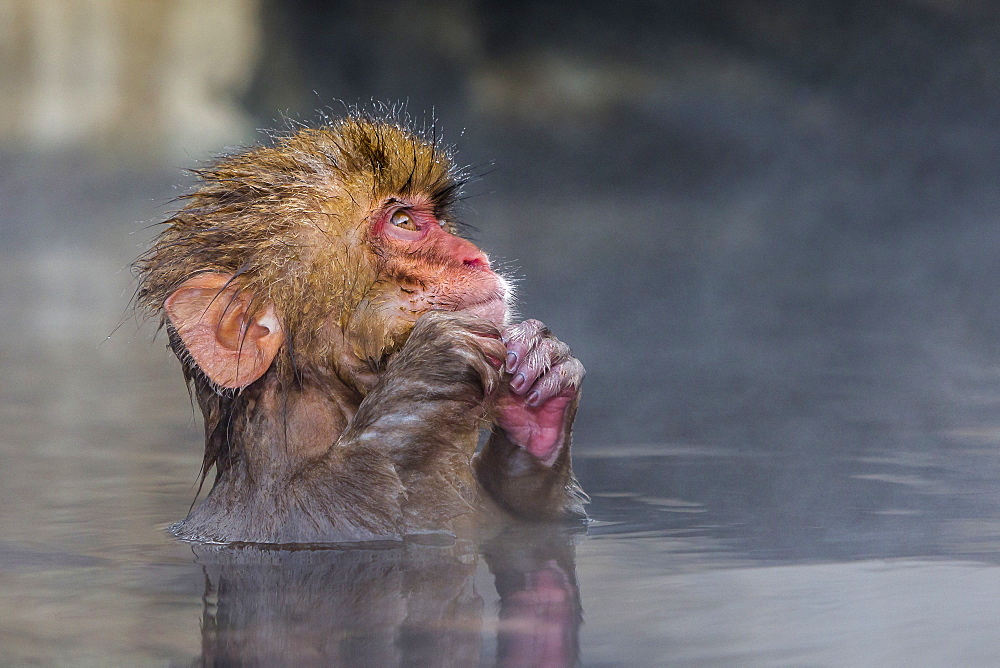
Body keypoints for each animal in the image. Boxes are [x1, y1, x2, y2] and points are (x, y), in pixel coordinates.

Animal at [133, 112, 584, 544]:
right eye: (403, 221)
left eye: (436, 220)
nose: (475, 257)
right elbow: (334, 504)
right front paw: (434, 365)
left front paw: (540, 372)